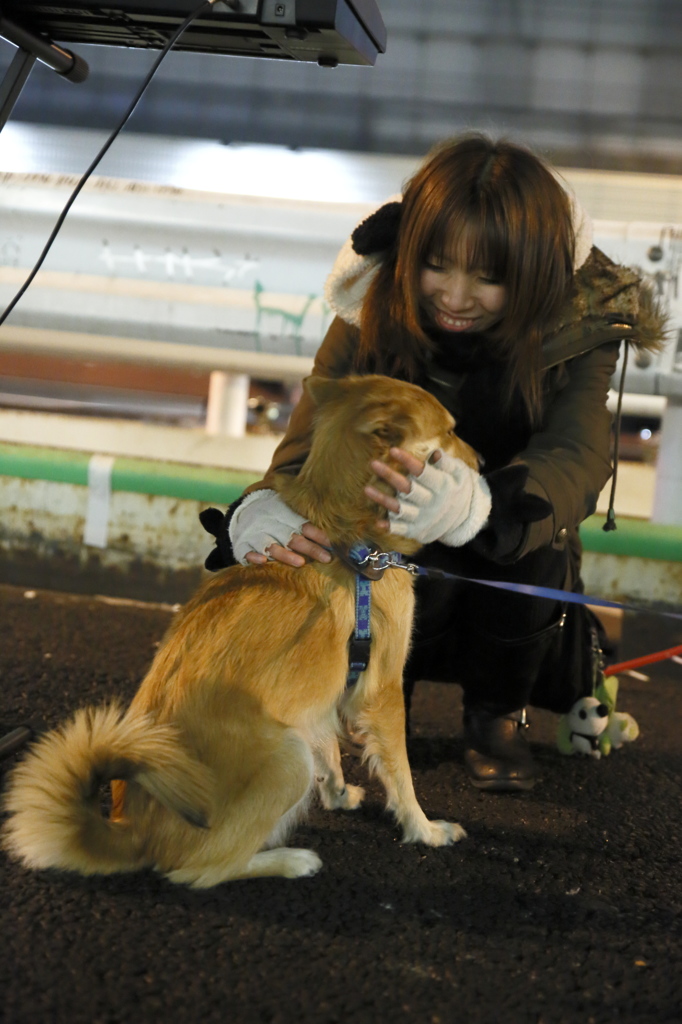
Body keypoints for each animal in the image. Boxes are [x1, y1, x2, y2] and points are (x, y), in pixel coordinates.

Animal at [3, 376, 477, 888]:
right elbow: (401, 775)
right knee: (200, 870)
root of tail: (132, 832)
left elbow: (329, 745)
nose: (482, 462)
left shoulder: (320, 695)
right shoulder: (382, 691)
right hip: (288, 760)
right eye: (450, 431)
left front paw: (336, 792)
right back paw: (290, 861)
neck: (345, 535)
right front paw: (424, 830)